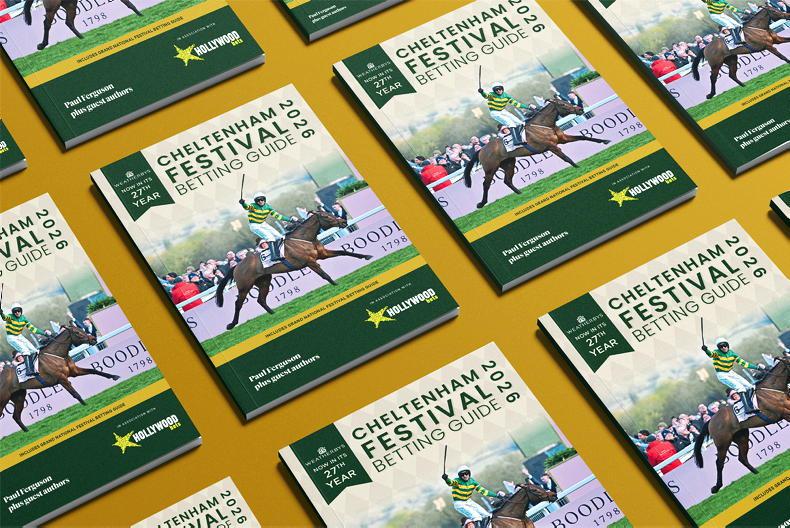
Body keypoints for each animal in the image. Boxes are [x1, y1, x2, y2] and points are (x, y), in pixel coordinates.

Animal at [215, 210, 373, 330]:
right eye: (326, 216)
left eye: (329, 213)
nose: (343, 222)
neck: (304, 239)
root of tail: (237, 266)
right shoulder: (310, 262)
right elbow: (324, 275)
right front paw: (337, 285)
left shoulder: (323, 254)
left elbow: (344, 252)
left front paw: (365, 256)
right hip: (244, 286)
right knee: (238, 303)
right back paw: (232, 324)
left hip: (264, 280)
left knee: (261, 299)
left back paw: (274, 314)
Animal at [462, 97, 611, 209]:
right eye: (563, 104)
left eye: (566, 101)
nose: (580, 109)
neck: (543, 126)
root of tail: (481, 149)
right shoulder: (552, 146)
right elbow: (566, 158)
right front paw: (579, 168)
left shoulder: (563, 139)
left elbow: (583, 137)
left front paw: (604, 140)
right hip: (490, 168)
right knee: (486, 184)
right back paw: (481, 203)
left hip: (509, 163)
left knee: (507, 180)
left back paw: (521, 194)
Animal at [693, 356, 789, 494]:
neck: (773, 389)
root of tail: (711, 420)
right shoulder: (784, 412)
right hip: (722, 443)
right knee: (719, 463)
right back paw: (716, 487)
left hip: (741, 436)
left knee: (742, 457)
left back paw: (757, 472)